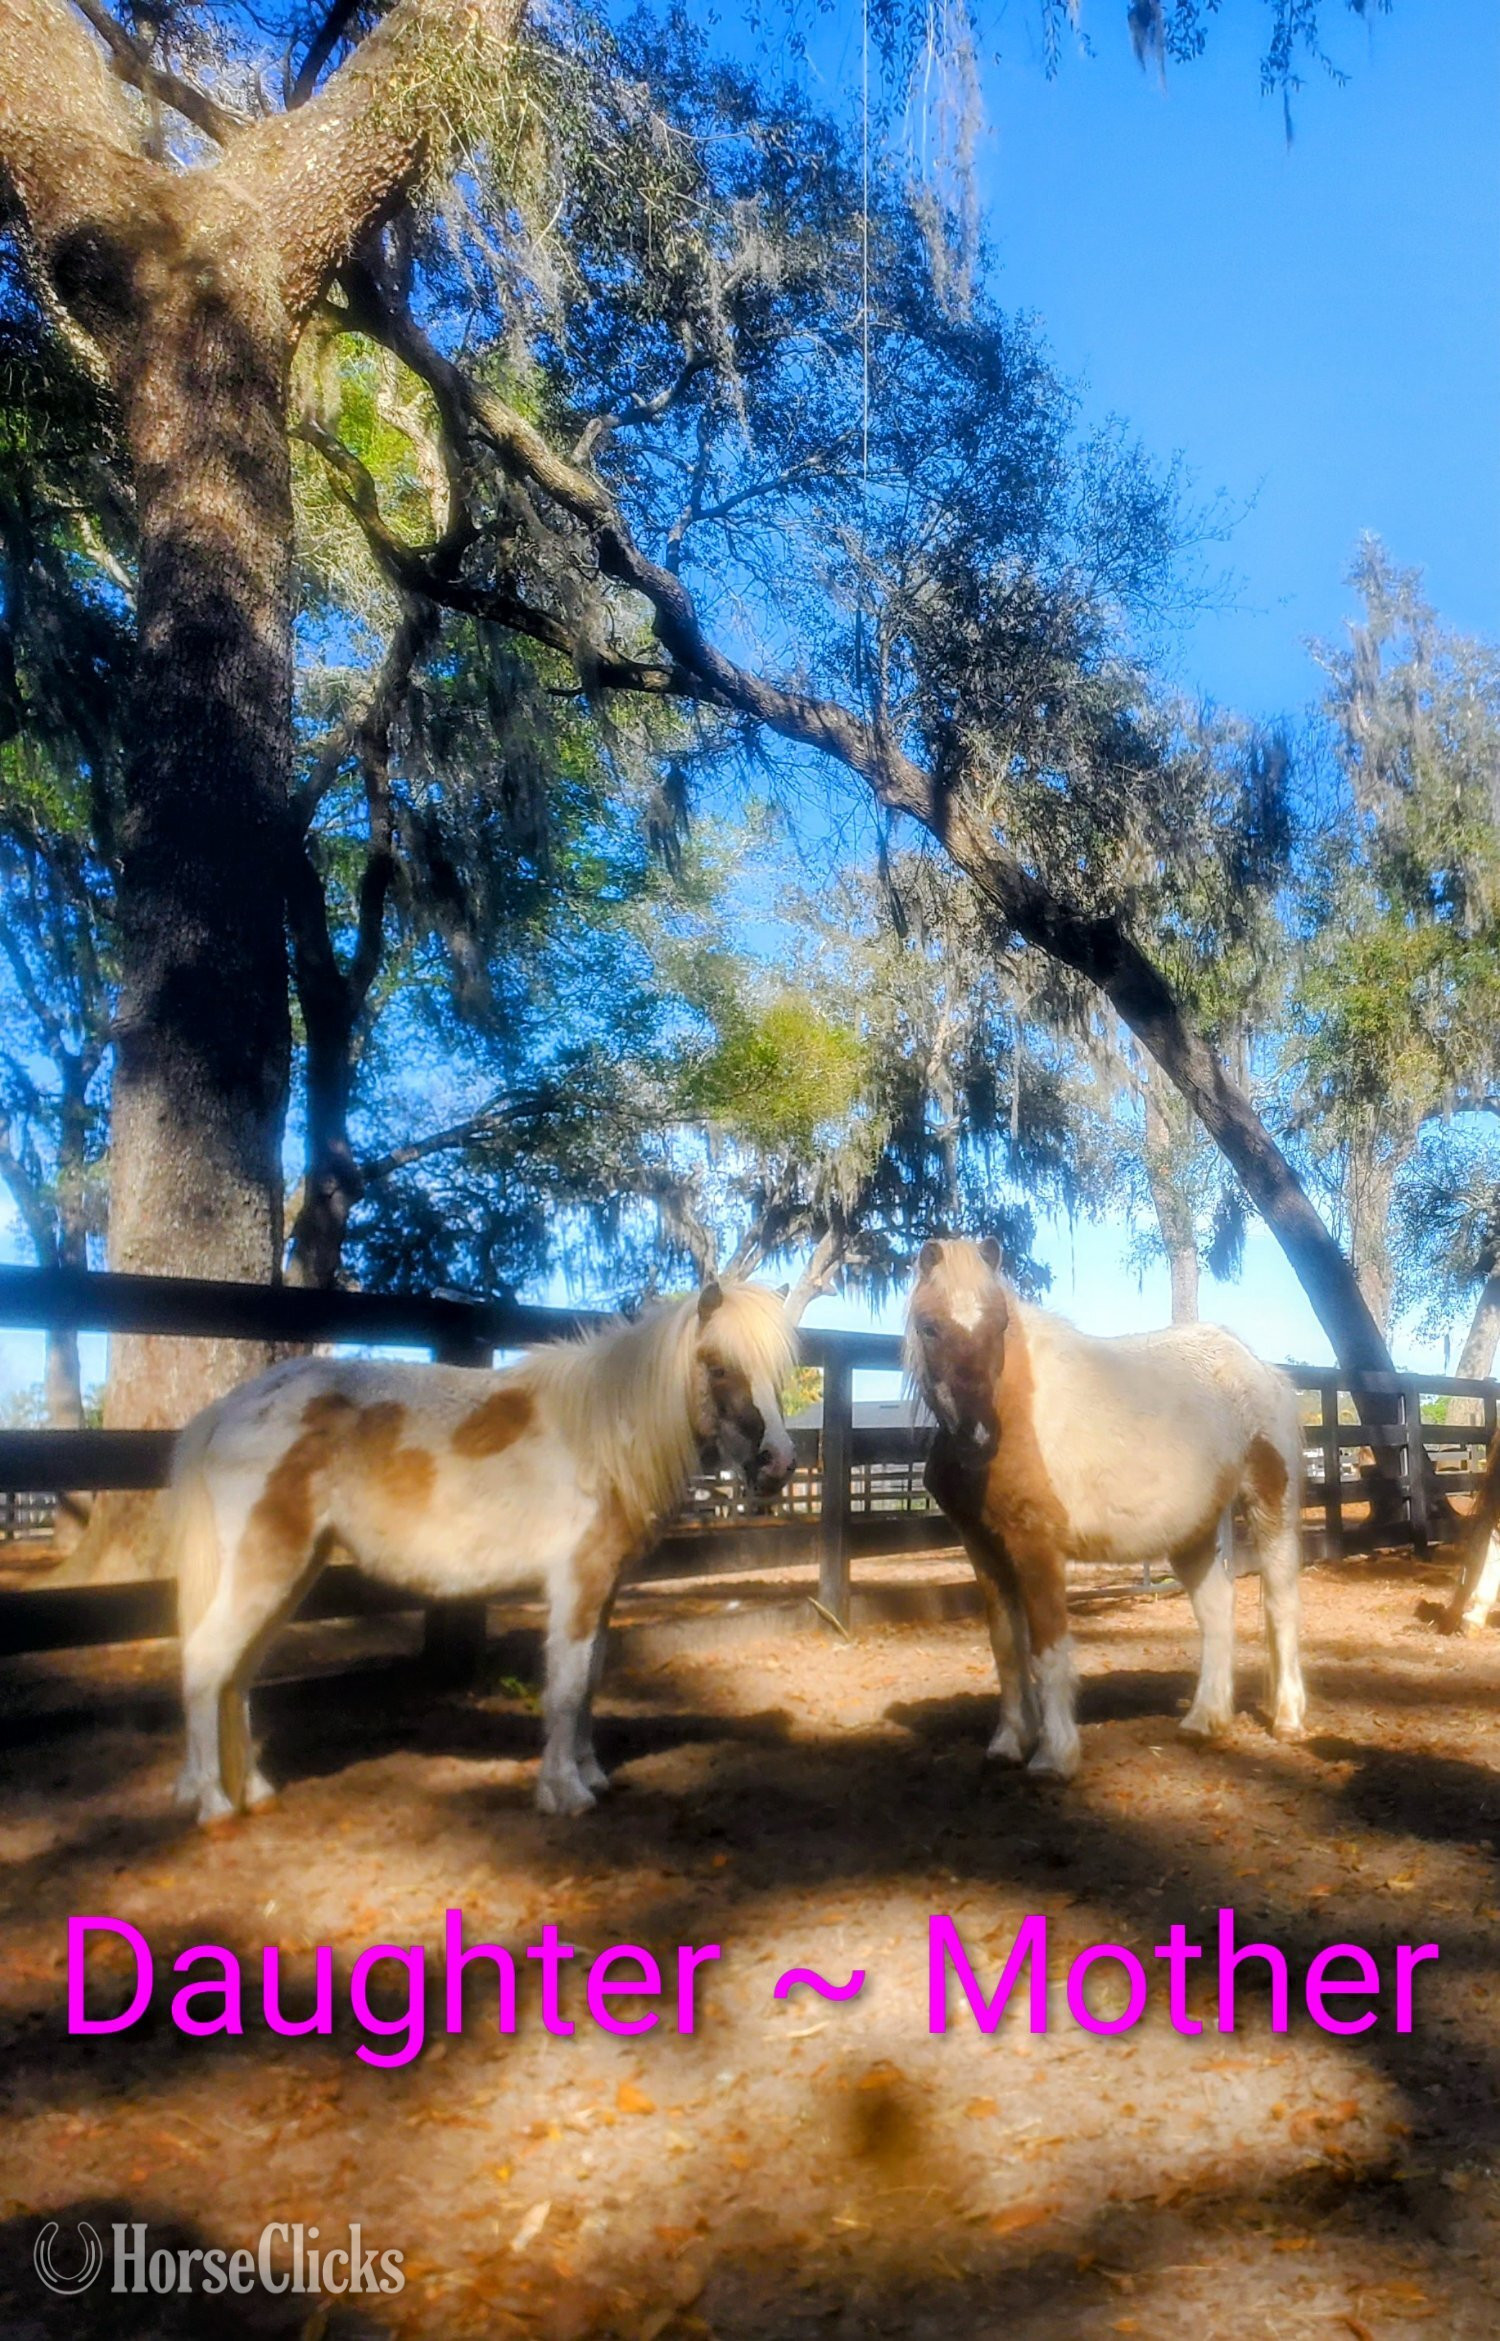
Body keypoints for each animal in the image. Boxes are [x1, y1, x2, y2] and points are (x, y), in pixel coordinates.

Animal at [167, 1279, 797, 1824]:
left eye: (780, 1372)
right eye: (718, 1366)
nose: (779, 1465)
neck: (600, 1437)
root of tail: (229, 1410)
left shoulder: (606, 1588)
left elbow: (591, 1679)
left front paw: (591, 1774)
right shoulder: (577, 1584)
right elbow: (567, 1686)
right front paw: (565, 1792)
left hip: (291, 1574)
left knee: (238, 1674)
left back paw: (254, 1792)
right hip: (264, 1568)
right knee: (206, 1662)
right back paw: (214, 1805)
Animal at [905, 1238, 1306, 1779]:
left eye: (1000, 1325)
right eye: (929, 1326)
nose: (979, 1436)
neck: (1016, 1409)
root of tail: (1260, 1368)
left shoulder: (1036, 1547)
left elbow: (1048, 1648)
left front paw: (1054, 1756)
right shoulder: (982, 1548)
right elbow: (1006, 1647)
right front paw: (1008, 1743)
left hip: (1270, 1507)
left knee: (1280, 1604)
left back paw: (1287, 1720)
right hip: (1193, 1531)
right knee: (1217, 1610)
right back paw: (1205, 1720)